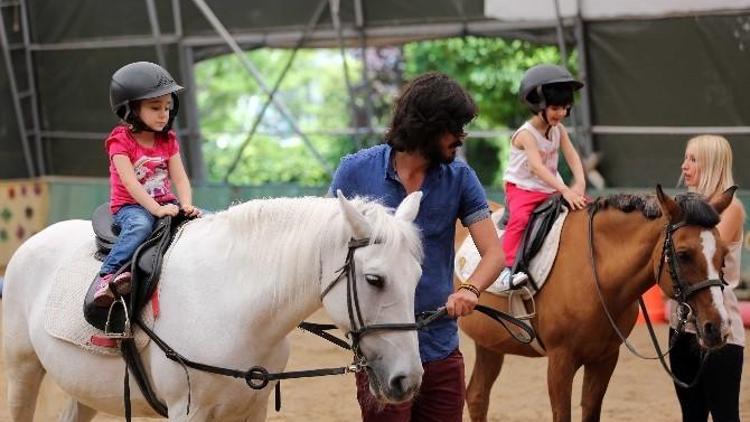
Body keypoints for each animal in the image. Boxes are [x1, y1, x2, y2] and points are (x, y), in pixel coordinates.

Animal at [2, 193, 426, 420]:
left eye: (417, 276)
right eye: (375, 279)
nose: (407, 379)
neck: (233, 307)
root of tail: (33, 241)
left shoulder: (251, 410)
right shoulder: (187, 412)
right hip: (24, 371)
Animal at [458, 186, 736, 422]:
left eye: (723, 255)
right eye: (683, 254)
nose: (717, 327)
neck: (595, 274)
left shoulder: (605, 359)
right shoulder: (560, 361)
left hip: (490, 342)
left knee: (477, 396)